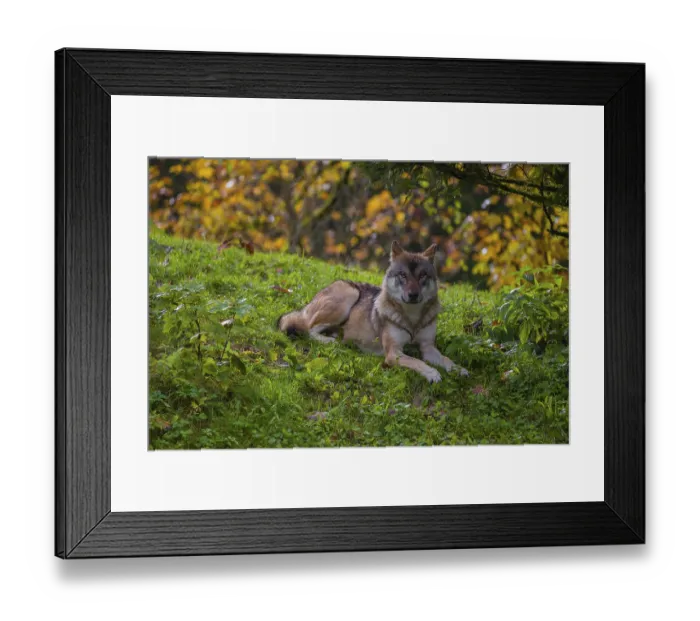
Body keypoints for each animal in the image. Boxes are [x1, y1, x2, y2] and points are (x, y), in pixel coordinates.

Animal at [278, 241, 468, 383]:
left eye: (422, 275)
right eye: (403, 275)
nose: (413, 295)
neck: (412, 319)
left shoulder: (428, 347)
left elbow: (445, 359)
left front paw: (458, 369)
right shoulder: (393, 353)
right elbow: (417, 360)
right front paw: (432, 373)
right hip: (349, 295)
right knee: (308, 329)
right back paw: (331, 341)